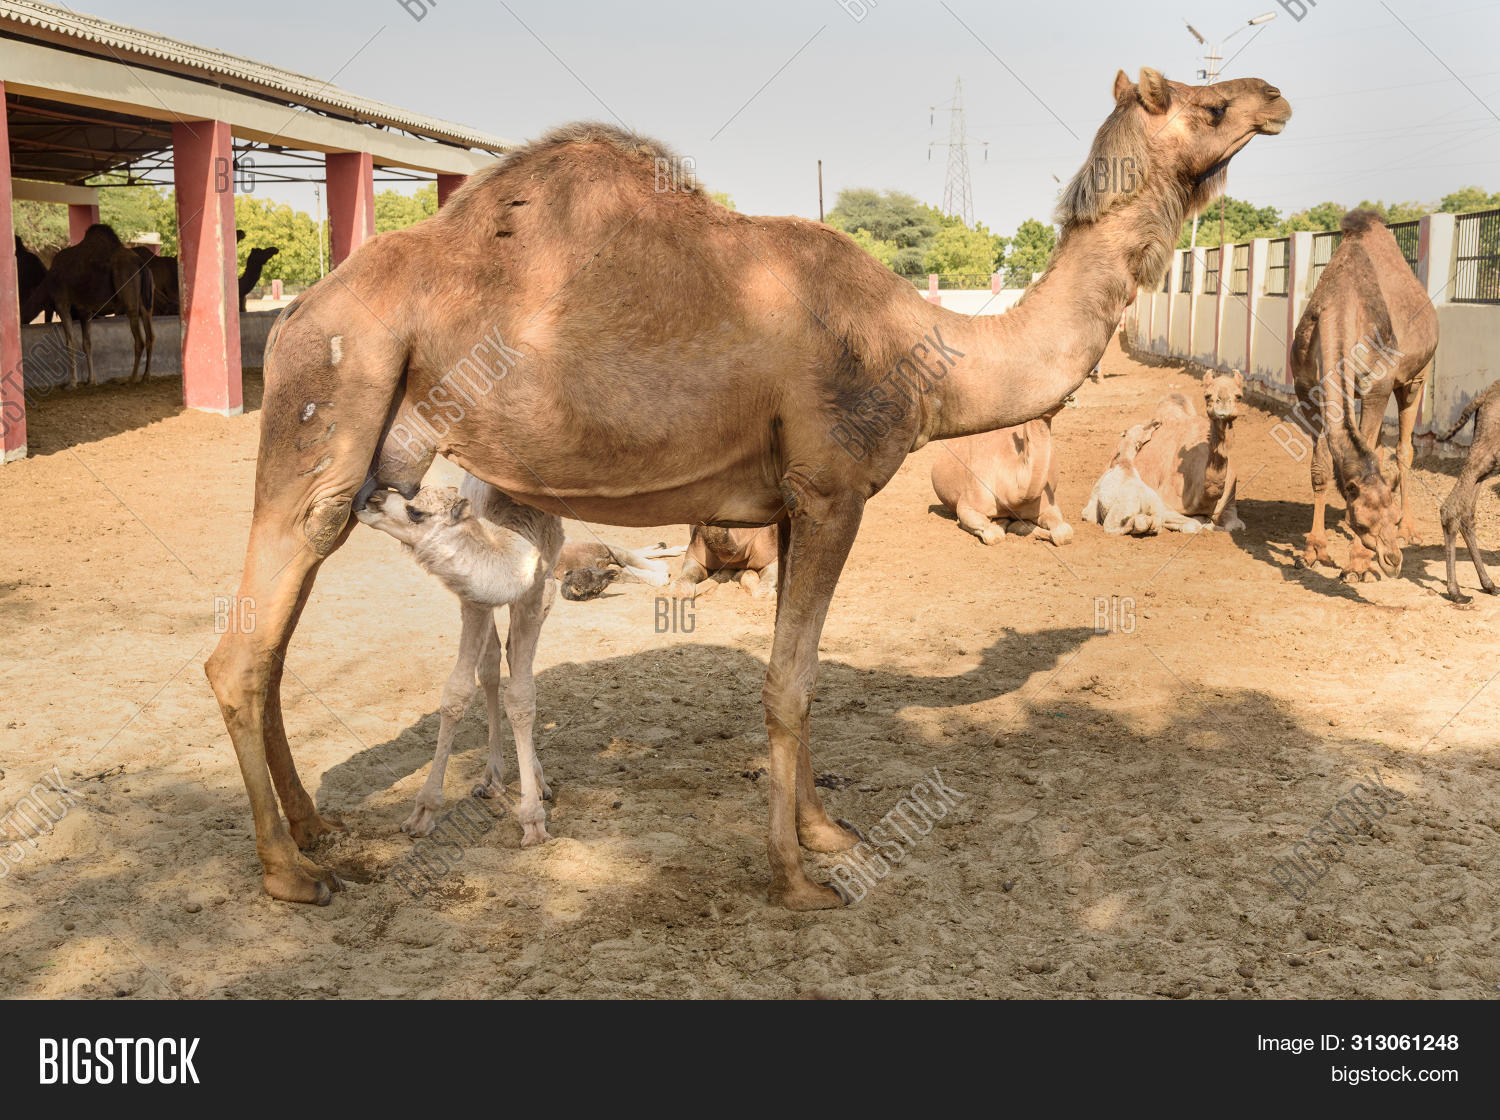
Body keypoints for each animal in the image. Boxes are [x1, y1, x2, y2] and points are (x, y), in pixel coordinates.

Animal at [20, 224, 153, 387]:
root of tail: (141, 265)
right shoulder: (85, 311)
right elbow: (87, 343)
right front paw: (91, 380)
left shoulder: (62, 303)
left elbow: (69, 343)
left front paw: (72, 383)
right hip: (145, 303)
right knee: (150, 335)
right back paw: (145, 377)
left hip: (130, 299)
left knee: (139, 340)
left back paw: (132, 379)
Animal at [356, 474, 562, 845]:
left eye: (415, 511)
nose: (372, 498)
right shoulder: (474, 598)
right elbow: (458, 691)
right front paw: (422, 812)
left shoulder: (539, 590)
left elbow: (522, 697)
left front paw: (534, 822)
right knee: (492, 664)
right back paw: (492, 779)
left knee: (513, 659)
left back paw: (536, 783)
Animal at [1131, 370, 1245, 531]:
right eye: (1207, 395)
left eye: (1239, 396)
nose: (1223, 404)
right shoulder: (1164, 500)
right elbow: (1192, 525)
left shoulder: (1230, 500)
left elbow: (1234, 526)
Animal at [1291, 210, 1439, 582]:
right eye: (1361, 521)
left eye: (1389, 515)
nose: (1393, 561)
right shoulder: (1306, 388)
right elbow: (1320, 464)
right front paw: (1313, 551)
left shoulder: (1378, 386)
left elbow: (1370, 449)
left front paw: (1357, 564)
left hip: (1415, 378)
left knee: (1403, 448)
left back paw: (1410, 529)